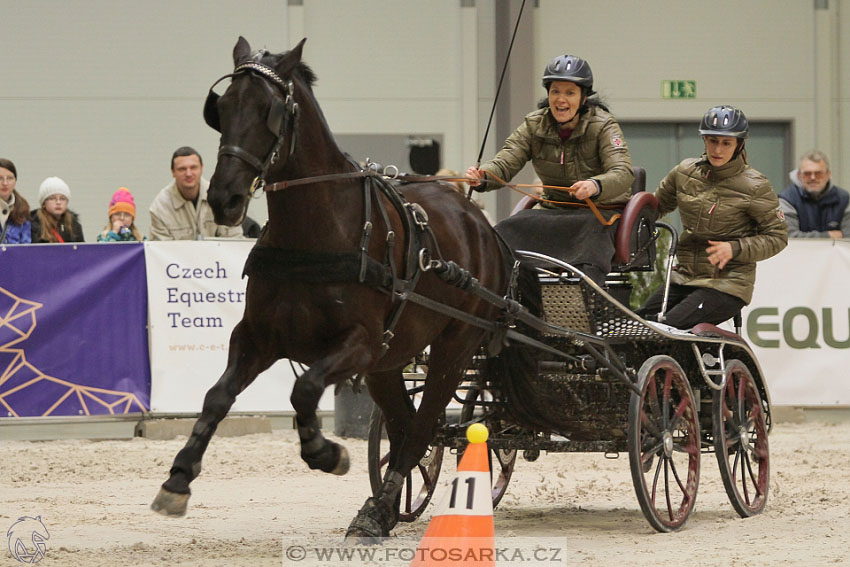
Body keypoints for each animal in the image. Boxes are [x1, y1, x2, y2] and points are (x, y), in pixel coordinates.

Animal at [151, 36, 536, 540]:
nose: (223, 198)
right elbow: (217, 397)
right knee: (406, 425)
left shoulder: (359, 344)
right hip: (391, 362)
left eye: (269, 110)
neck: (316, 232)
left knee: (422, 426)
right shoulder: (257, 336)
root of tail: (482, 225)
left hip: (452, 350)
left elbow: (304, 390)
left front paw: (325, 452)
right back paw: (382, 509)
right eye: (224, 107)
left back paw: (379, 508)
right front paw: (178, 478)